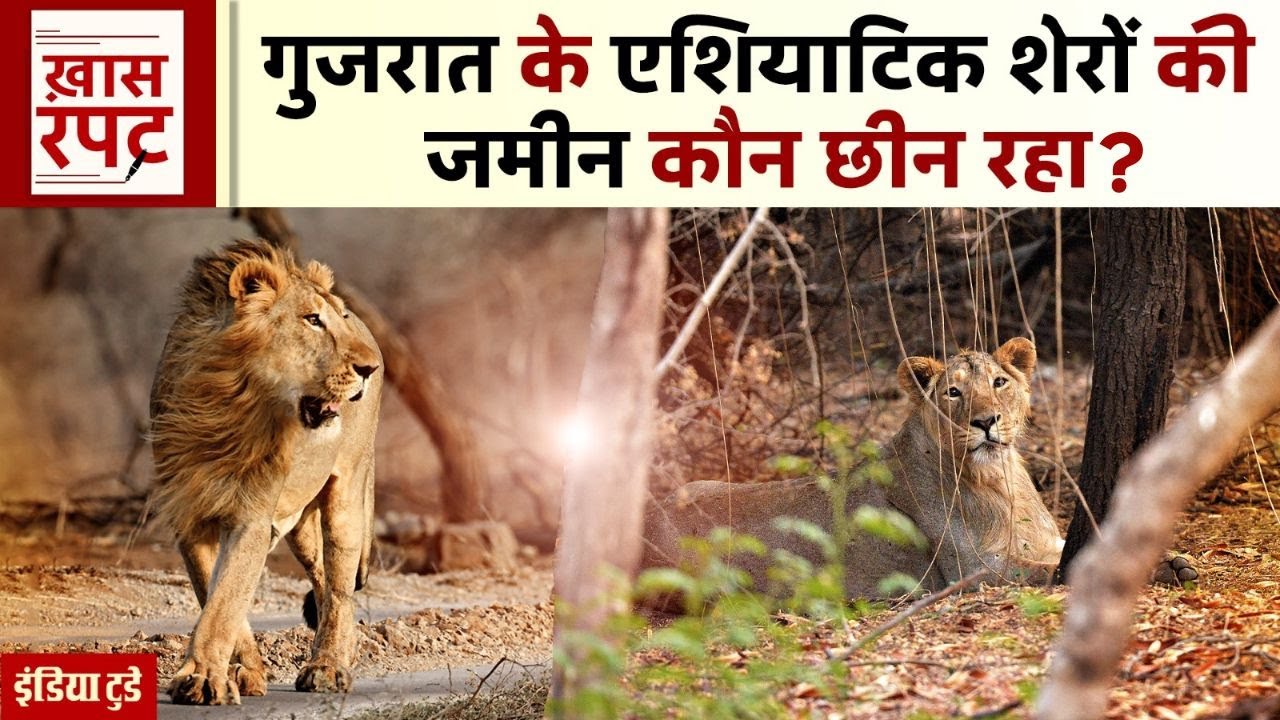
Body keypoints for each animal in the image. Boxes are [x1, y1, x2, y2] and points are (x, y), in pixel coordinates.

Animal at [149, 240, 382, 705]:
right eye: (312, 320)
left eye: (337, 318)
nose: (369, 370)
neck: (227, 407)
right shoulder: (189, 515)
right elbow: (217, 592)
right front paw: (244, 672)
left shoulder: (251, 514)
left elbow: (223, 598)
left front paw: (202, 678)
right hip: (300, 526)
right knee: (323, 580)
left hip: (346, 496)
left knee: (341, 589)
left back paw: (328, 667)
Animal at [643, 337, 1196, 600]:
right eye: (952, 392)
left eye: (998, 382)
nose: (986, 421)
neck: (999, 480)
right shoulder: (973, 572)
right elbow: (1060, 570)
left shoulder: (1045, 539)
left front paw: (1174, 561)